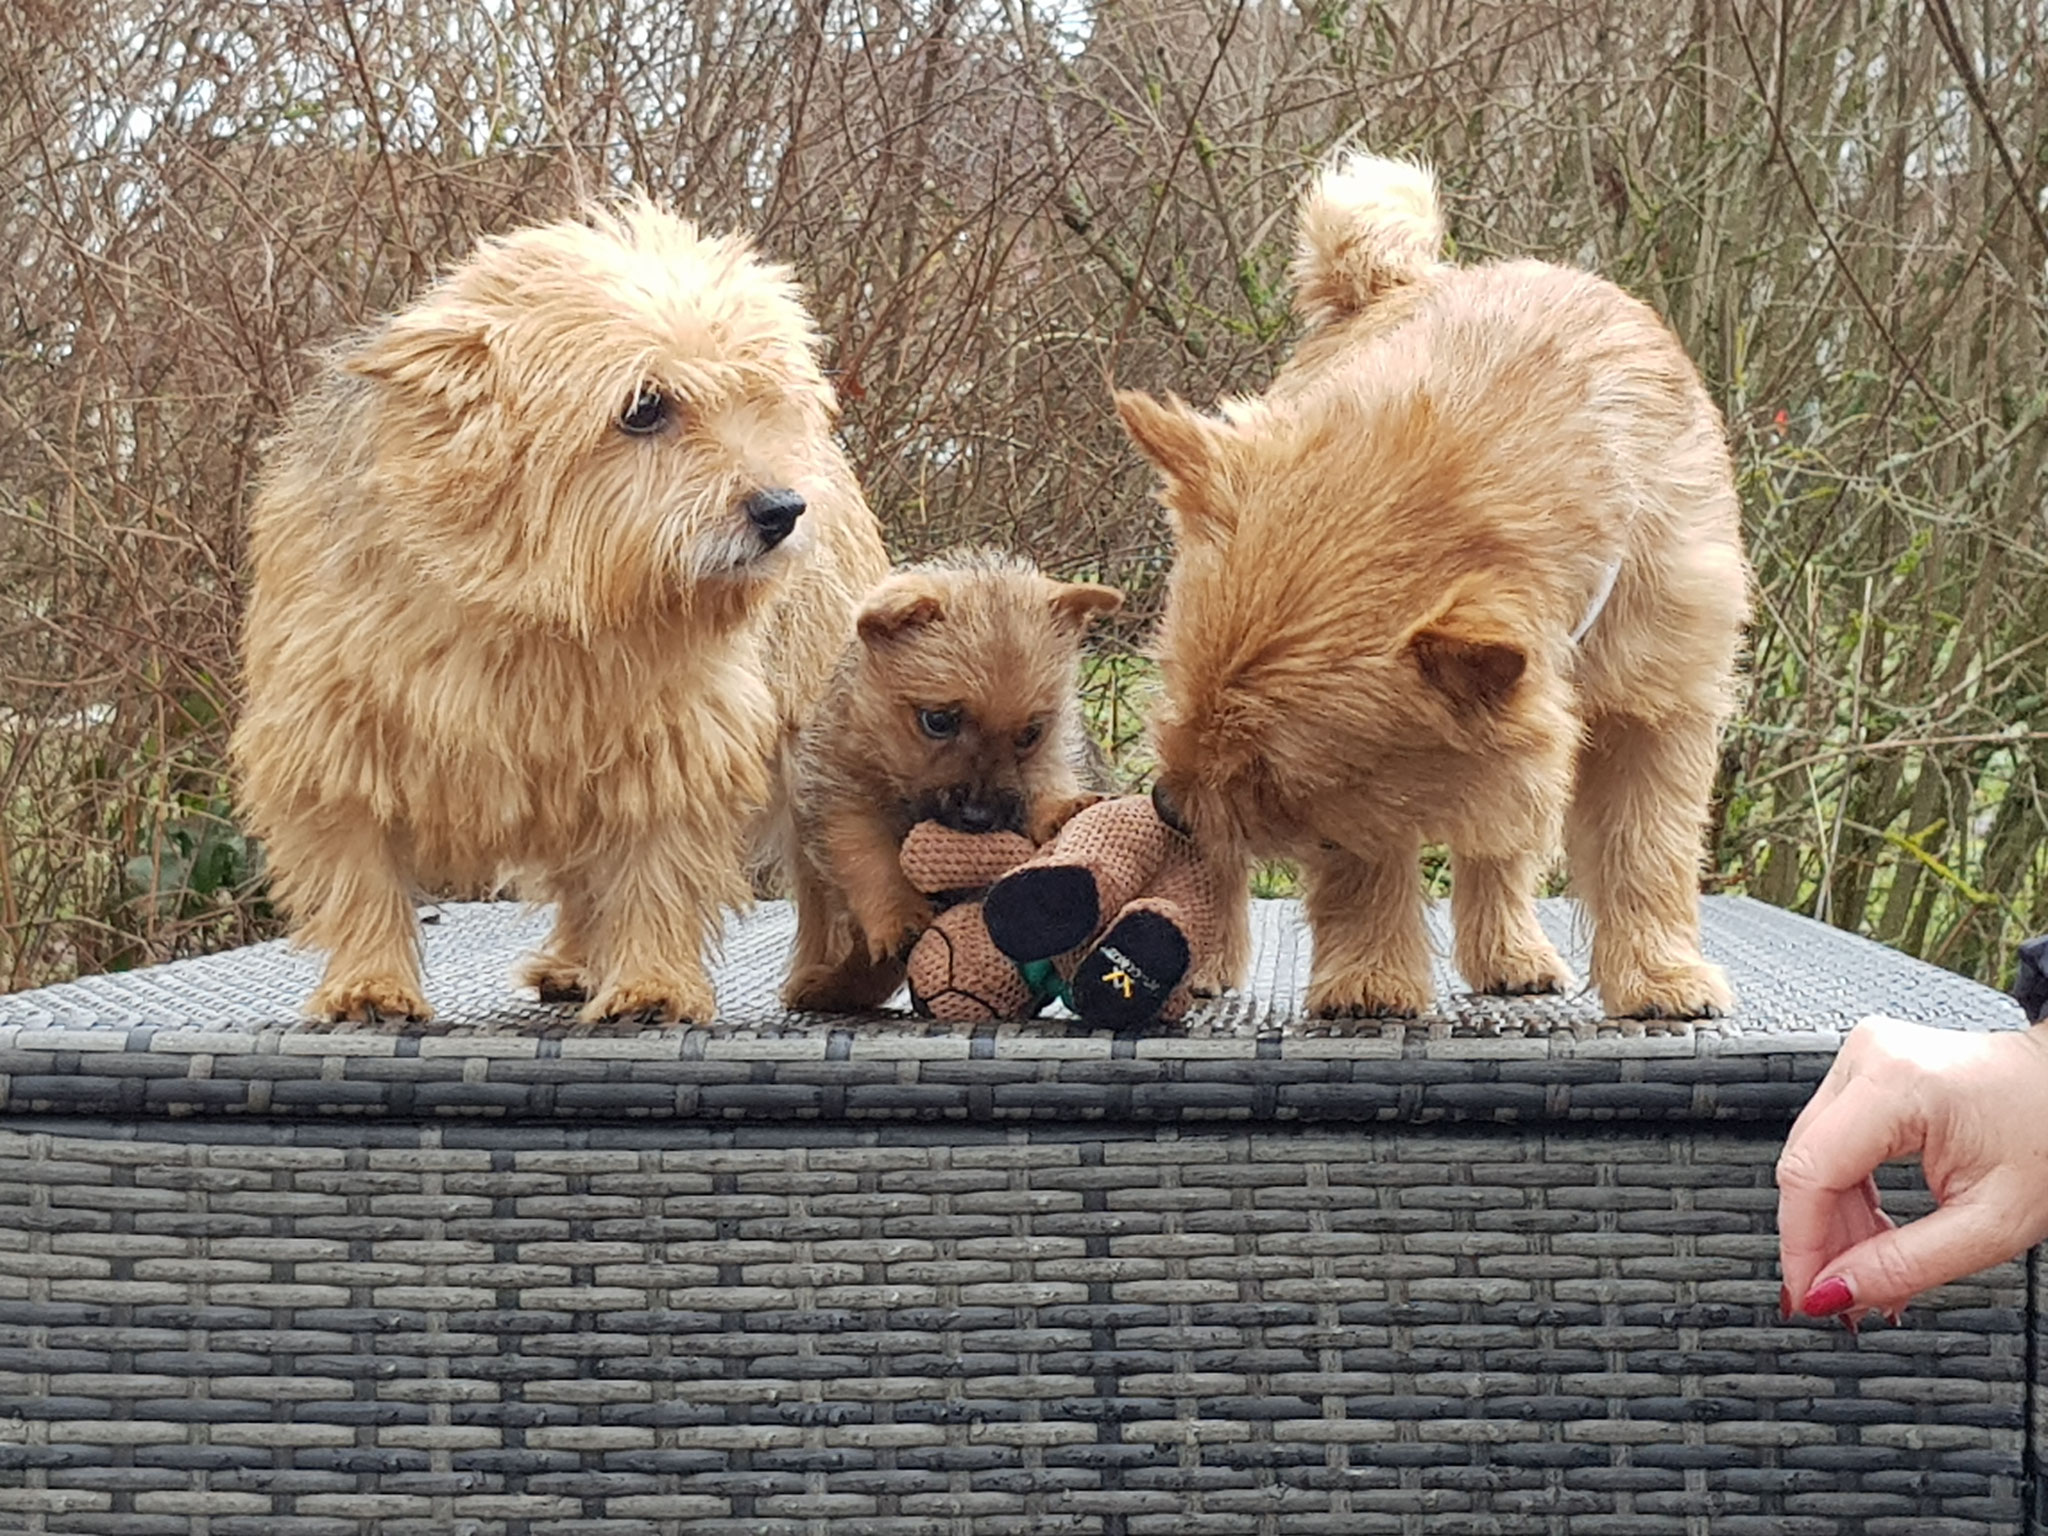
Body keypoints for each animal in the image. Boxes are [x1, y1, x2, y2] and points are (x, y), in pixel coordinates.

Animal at [234, 198, 888, 1028]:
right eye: (644, 408)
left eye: (762, 403)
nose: (782, 509)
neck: (536, 605)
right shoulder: (334, 738)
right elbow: (360, 876)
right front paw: (370, 984)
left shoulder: (675, 741)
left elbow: (658, 867)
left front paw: (652, 984)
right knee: (582, 880)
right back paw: (575, 963)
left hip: (814, 731)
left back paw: (833, 974)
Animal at [778, 548, 1122, 1011]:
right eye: (938, 721)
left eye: (1030, 734)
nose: (978, 818)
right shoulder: (842, 802)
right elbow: (869, 860)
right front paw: (900, 918)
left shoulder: (1050, 756)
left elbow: (1045, 783)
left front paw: (1062, 808)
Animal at [1130, 153, 1753, 1024]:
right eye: (1193, 712)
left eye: (1266, 773)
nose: (1166, 806)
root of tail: (1382, 281)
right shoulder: (1370, 797)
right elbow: (1363, 871)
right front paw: (1371, 979)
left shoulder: (1654, 719)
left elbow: (1646, 853)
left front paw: (1659, 976)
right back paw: (1212, 957)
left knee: (1502, 850)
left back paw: (1511, 954)